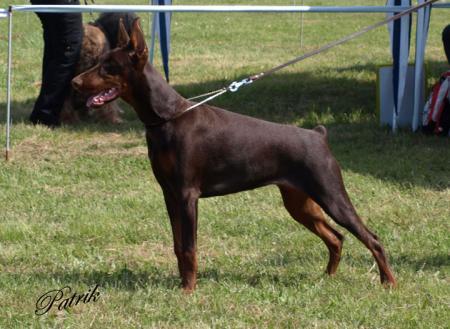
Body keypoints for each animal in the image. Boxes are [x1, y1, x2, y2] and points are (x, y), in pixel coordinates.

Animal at [71, 18, 398, 290]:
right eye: (99, 61)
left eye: (109, 67)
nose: (74, 82)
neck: (166, 117)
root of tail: (318, 135)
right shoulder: (169, 193)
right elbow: (178, 246)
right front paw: (182, 284)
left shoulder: (187, 194)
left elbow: (189, 247)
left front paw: (188, 290)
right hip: (299, 202)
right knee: (336, 237)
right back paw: (327, 278)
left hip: (330, 193)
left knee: (371, 238)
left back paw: (389, 282)